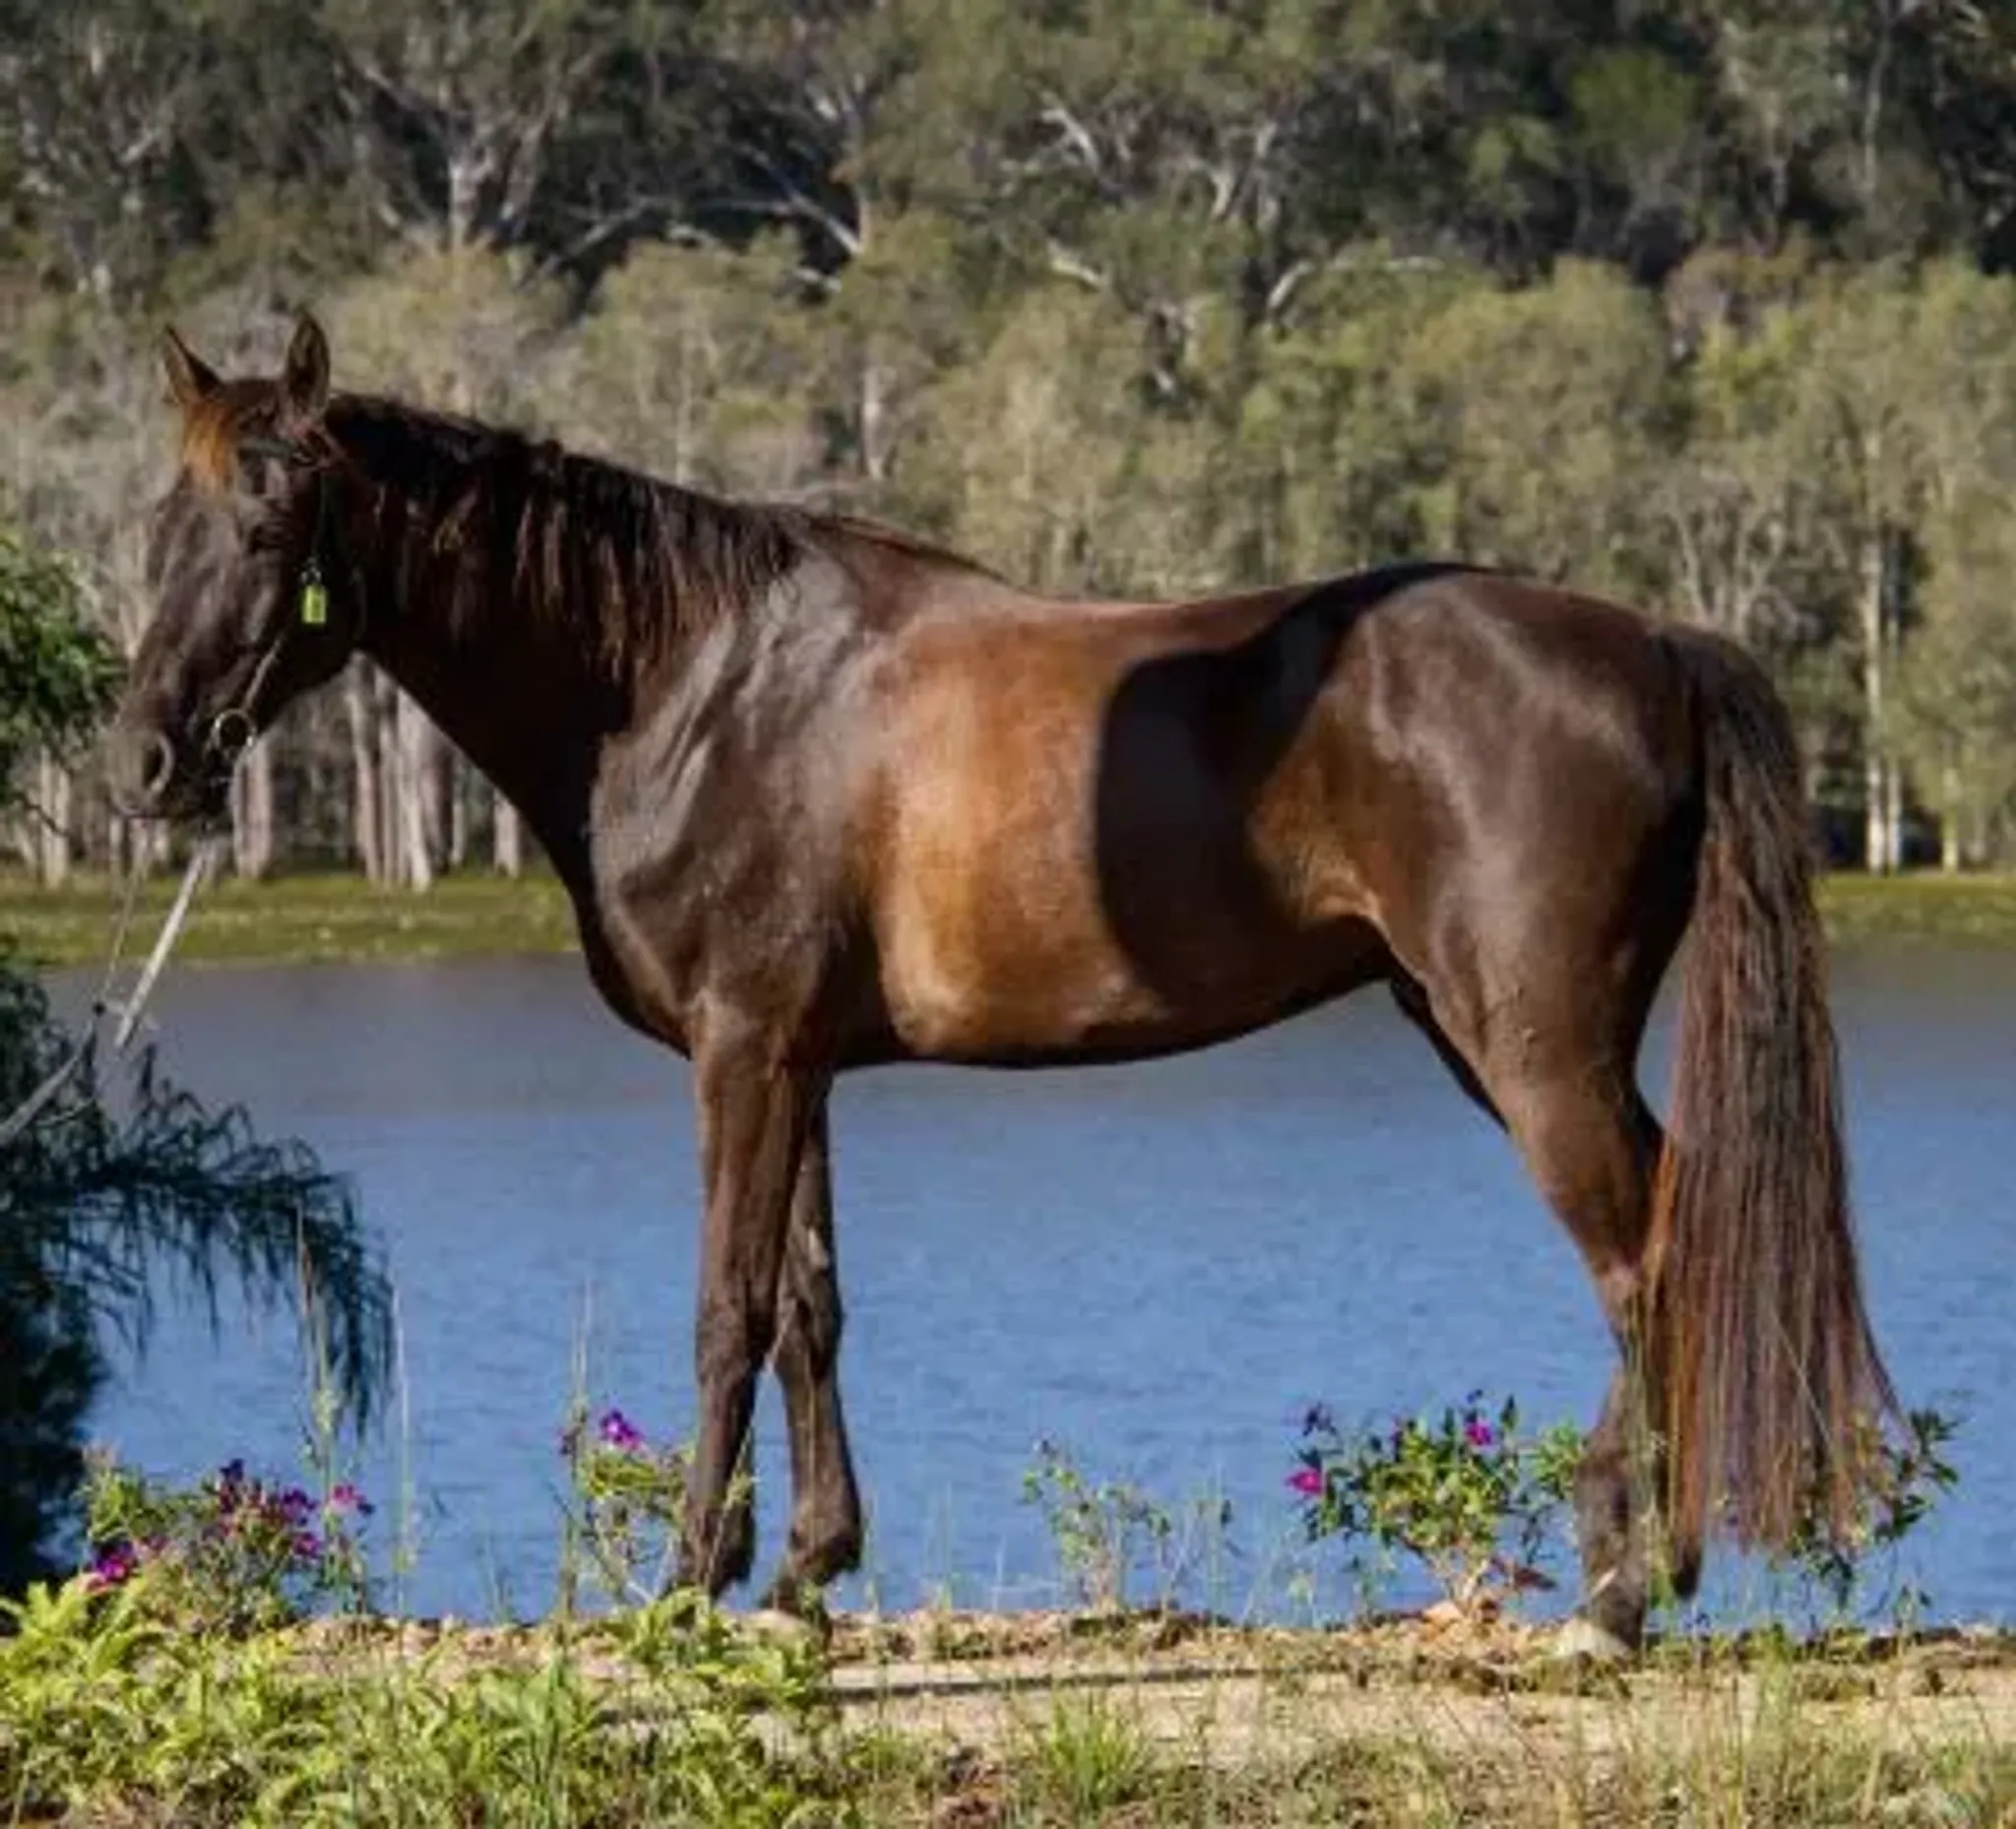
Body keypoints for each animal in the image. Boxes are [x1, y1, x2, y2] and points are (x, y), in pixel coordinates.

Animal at [107, 314, 1894, 1656]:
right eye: (154, 530)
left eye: (268, 529)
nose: (147, 764)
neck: (685, 682)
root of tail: (1653, 642)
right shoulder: (799, 1059)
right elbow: (810, 1303)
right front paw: (805, 1571)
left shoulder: (738, 1051)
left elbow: (724, 1307)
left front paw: (687, 1580)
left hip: (1531, 1046)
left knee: (1646, 1255)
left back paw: (1620, 1592)